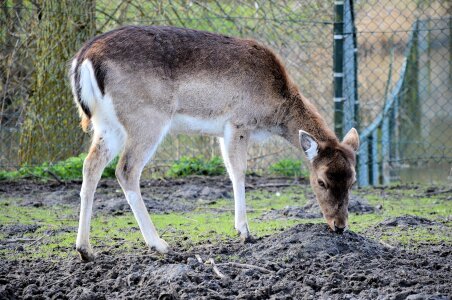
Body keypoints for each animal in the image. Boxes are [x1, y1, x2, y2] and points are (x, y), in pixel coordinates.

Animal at [69, 25, 358, 262]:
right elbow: (239, 171)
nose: (339, 226)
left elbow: (229, 171)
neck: (274, 109)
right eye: (321, 181)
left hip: (107, 124)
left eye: (353, 180)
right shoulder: (238, 122)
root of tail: (83, 59)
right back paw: (159, 244)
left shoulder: (222, 132)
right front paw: (245, 232)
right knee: (126, 169)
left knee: (91, 165)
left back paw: (85, 249)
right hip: (147, 119)